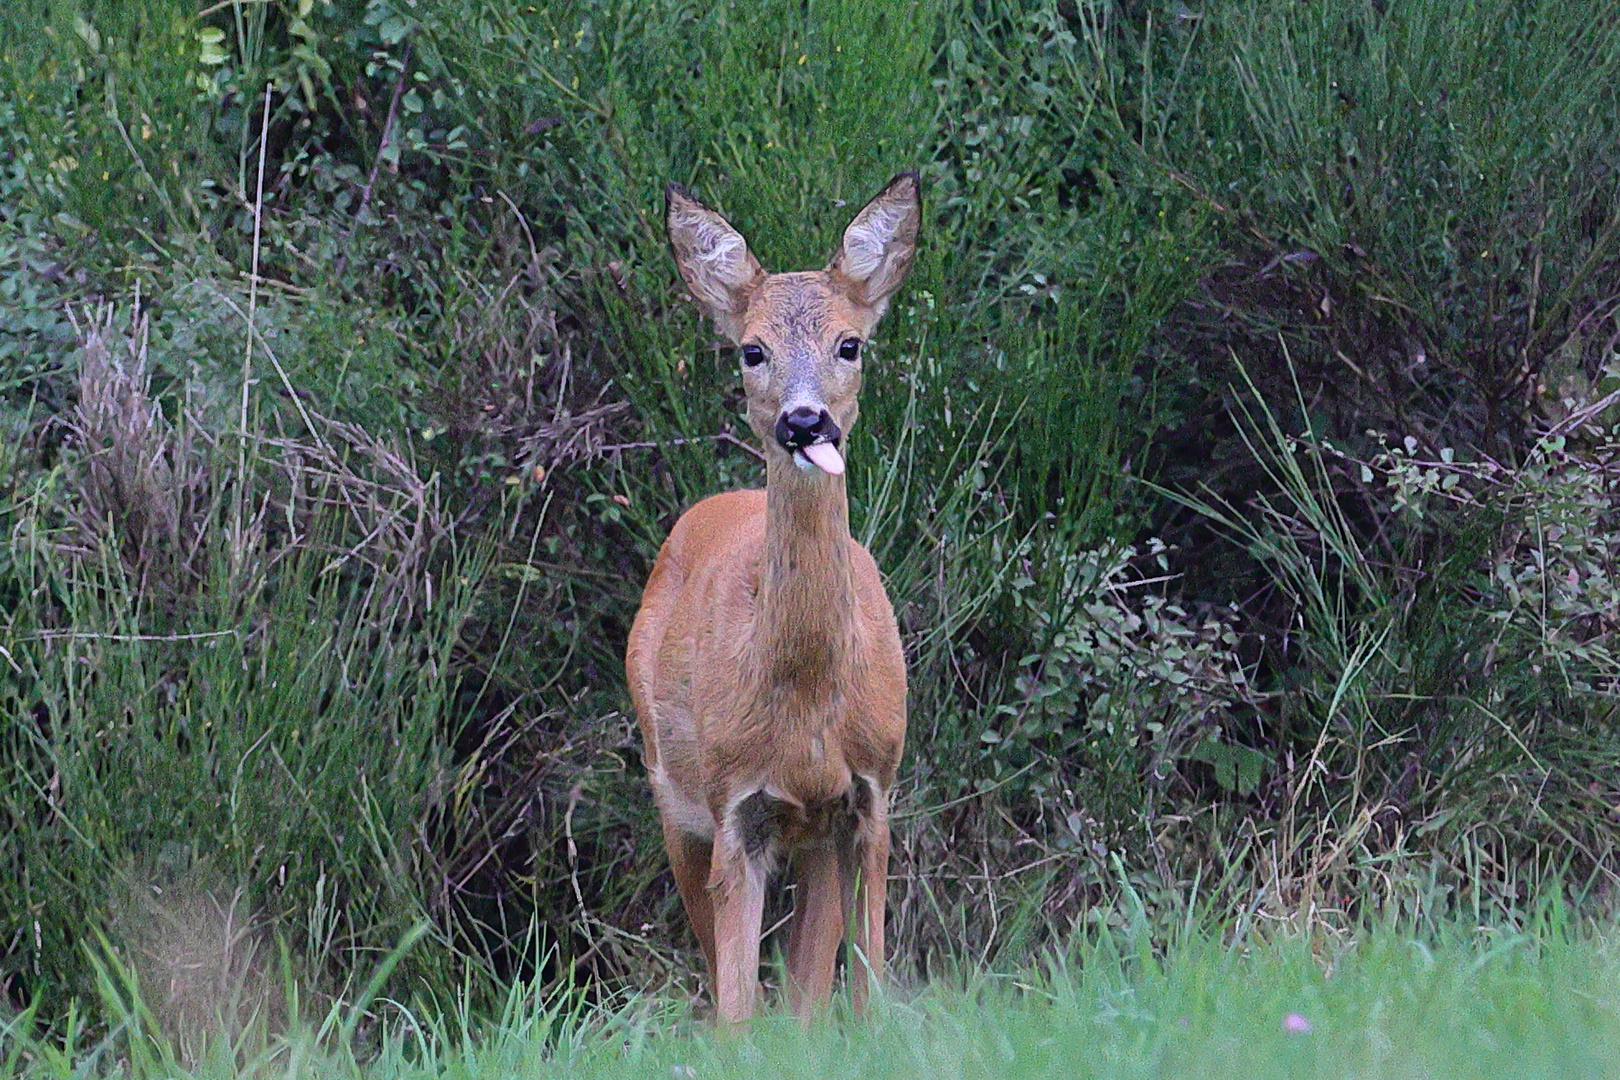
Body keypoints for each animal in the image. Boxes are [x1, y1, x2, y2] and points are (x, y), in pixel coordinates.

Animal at [625, 173, 920, 1029]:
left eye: (850, 344)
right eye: (751, 350)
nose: (803, 419)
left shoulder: (871, 793)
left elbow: (862, 989)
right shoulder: (735, 809)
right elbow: (737, 1014)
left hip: (814, 836)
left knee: (808, 989)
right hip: (672, 794)